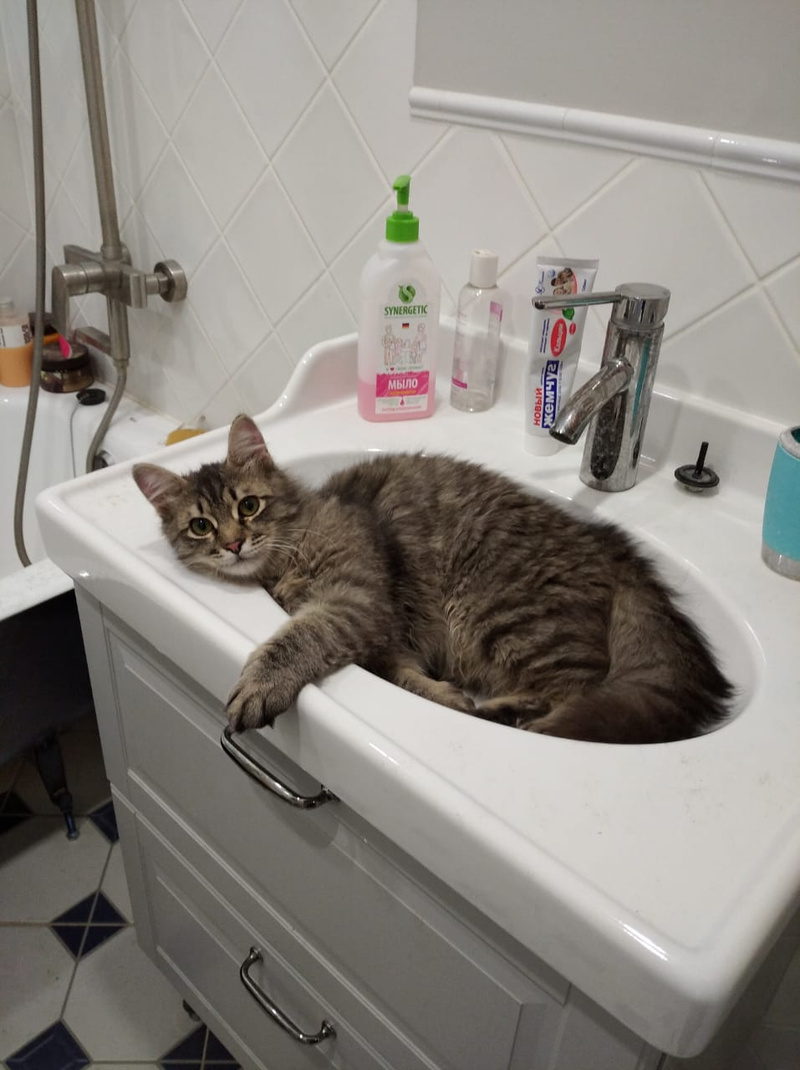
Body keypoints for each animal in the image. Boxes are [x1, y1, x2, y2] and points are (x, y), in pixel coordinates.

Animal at [133, 414, 733, 744]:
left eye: (249, 506)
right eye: (201, 526)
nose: (234, 544)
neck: (285, 560)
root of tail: (613, 547)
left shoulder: (355, 601)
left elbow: (294, 640)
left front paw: (259, 685)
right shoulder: (380, 638)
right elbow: (402, 676)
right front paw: (441, 696)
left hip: (505, 615)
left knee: (577, 691)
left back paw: (507, 717)